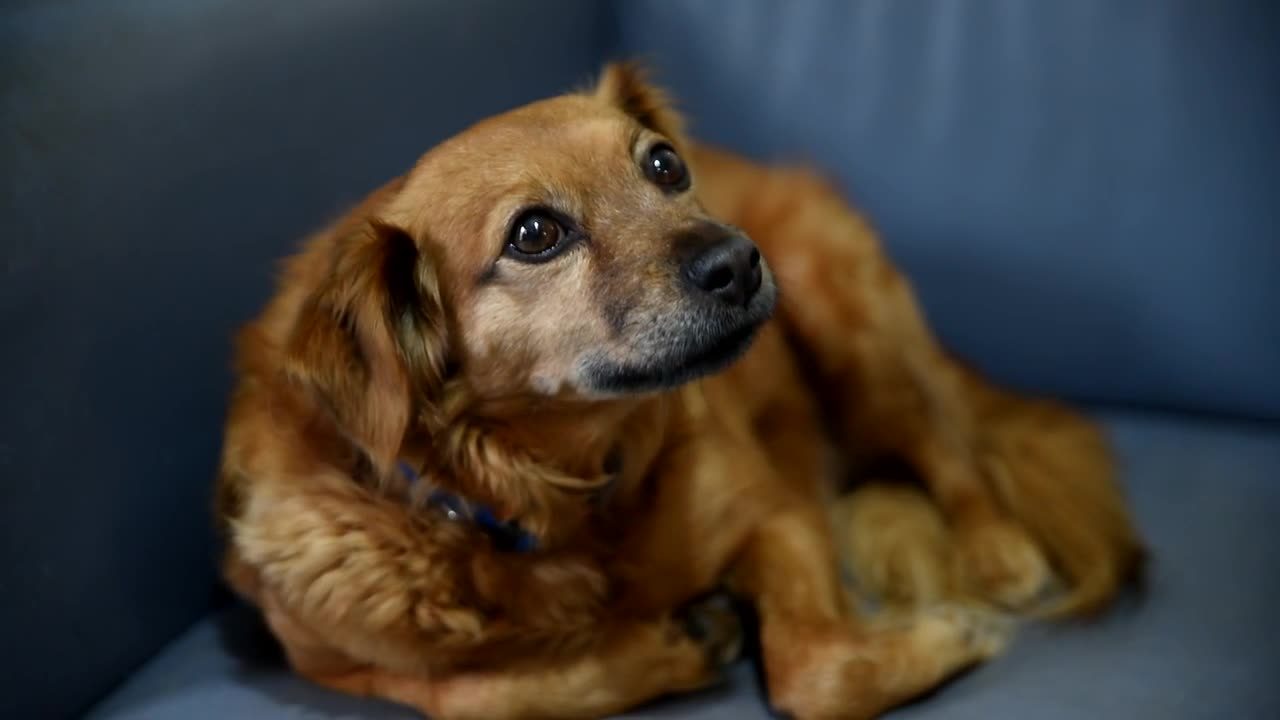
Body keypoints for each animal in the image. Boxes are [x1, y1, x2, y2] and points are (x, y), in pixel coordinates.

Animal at [215, 64, 1146, 712]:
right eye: (534, 233)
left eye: (662, 165)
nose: (739, 260)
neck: (555, 504)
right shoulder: (338, 661)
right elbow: (478, 692)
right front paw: (675, 642)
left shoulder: (773, 514)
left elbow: (818, 673)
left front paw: (947, 632)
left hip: (848, 317)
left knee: (947, 446)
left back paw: (999, 552)